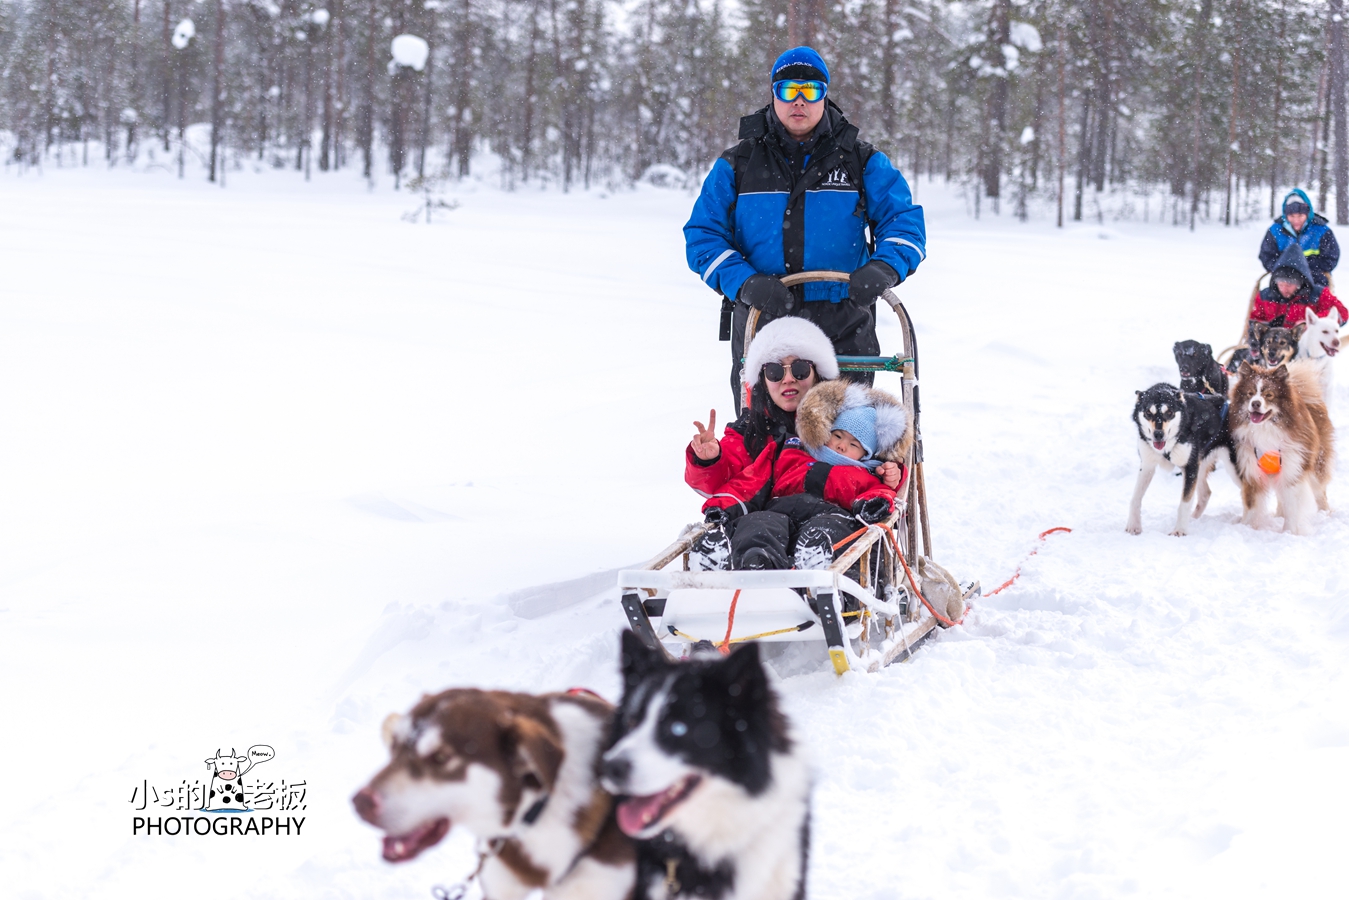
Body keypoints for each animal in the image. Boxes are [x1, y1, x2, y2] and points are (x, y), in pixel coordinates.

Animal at [1230, 361, 1332, 534]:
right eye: (1250, 393)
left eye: (1269, 395)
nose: (1255, 403)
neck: (1265, 430)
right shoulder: (1251, 470)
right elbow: (1252, 506)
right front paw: (1248, 528)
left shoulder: (1293, 468)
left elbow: (1293, 506)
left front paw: (1289, 532)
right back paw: (1279, 514)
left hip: (1316, 463)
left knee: (1320, 491)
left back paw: (1326, 513)